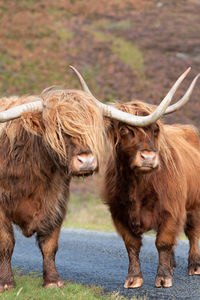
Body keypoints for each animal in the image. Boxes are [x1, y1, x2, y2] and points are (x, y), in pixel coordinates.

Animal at [0, 87, 104, 292]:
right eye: (59, 129)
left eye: (91, 128)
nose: (86, 161)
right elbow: (6, 242)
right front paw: (6, 282)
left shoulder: (56, 202)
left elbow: (50, 244)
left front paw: (53, 281)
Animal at [72, 66, 200, 288]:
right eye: (124, 129)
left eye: (155, 129)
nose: (148, 157)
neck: (138, 185)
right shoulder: (118, 213)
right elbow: (131, 244)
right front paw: (133, 278)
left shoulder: (172, 209)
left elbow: (163, 242)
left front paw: (163, 278)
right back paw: (173, 265)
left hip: (194, 205)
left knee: (193, 232)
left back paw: (194, 266)